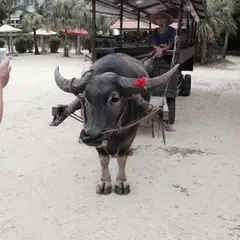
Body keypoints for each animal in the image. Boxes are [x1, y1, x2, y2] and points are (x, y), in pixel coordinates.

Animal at [54, 52, 178, 195]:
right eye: (85, 98)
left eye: (114, 98)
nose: (91, 136)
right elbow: (103, 160)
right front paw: (104, 183)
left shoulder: (130, 133)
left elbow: (122, 159)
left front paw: (122, 183)